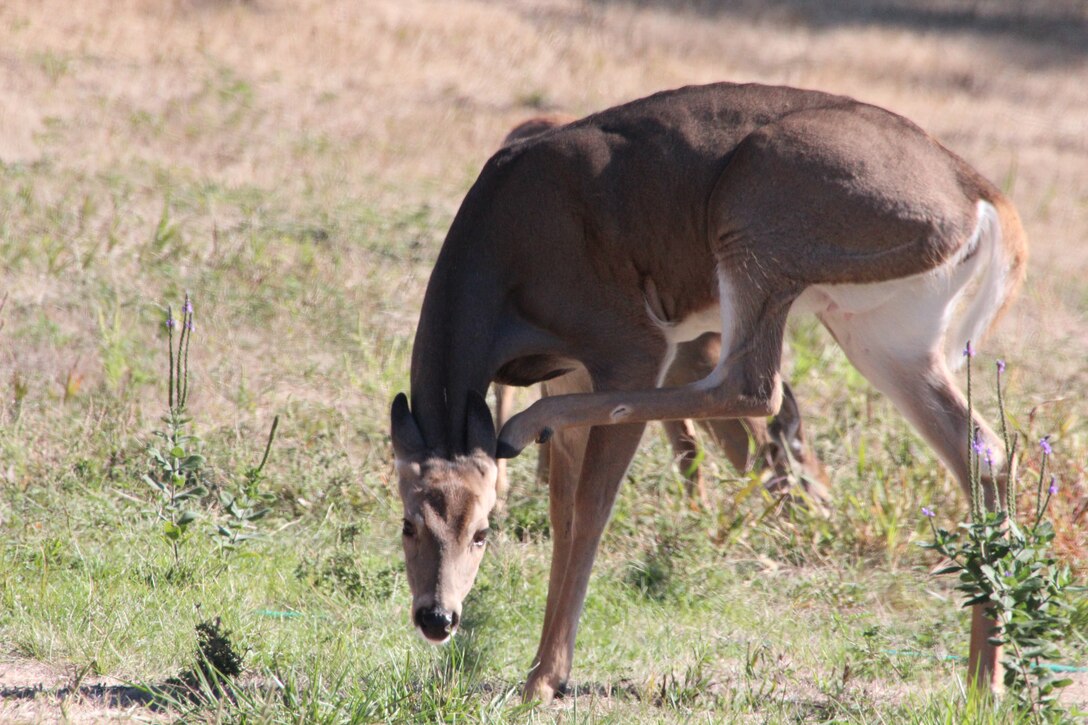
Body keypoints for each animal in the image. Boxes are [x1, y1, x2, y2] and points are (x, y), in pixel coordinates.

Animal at [393, 80, 1027, 701]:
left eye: (483, 532)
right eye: (407, 523)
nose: (437, 618)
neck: (507, 248)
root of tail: (984, 197)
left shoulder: (628, 345)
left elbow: (591, 508)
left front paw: (545, 677)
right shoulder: (573, 368)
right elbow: (562, 512)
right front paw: (542, 666)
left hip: (755, 224)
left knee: (754, 390)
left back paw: (526, 425)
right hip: (883, 332)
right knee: (982, 450)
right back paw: (984, 682)